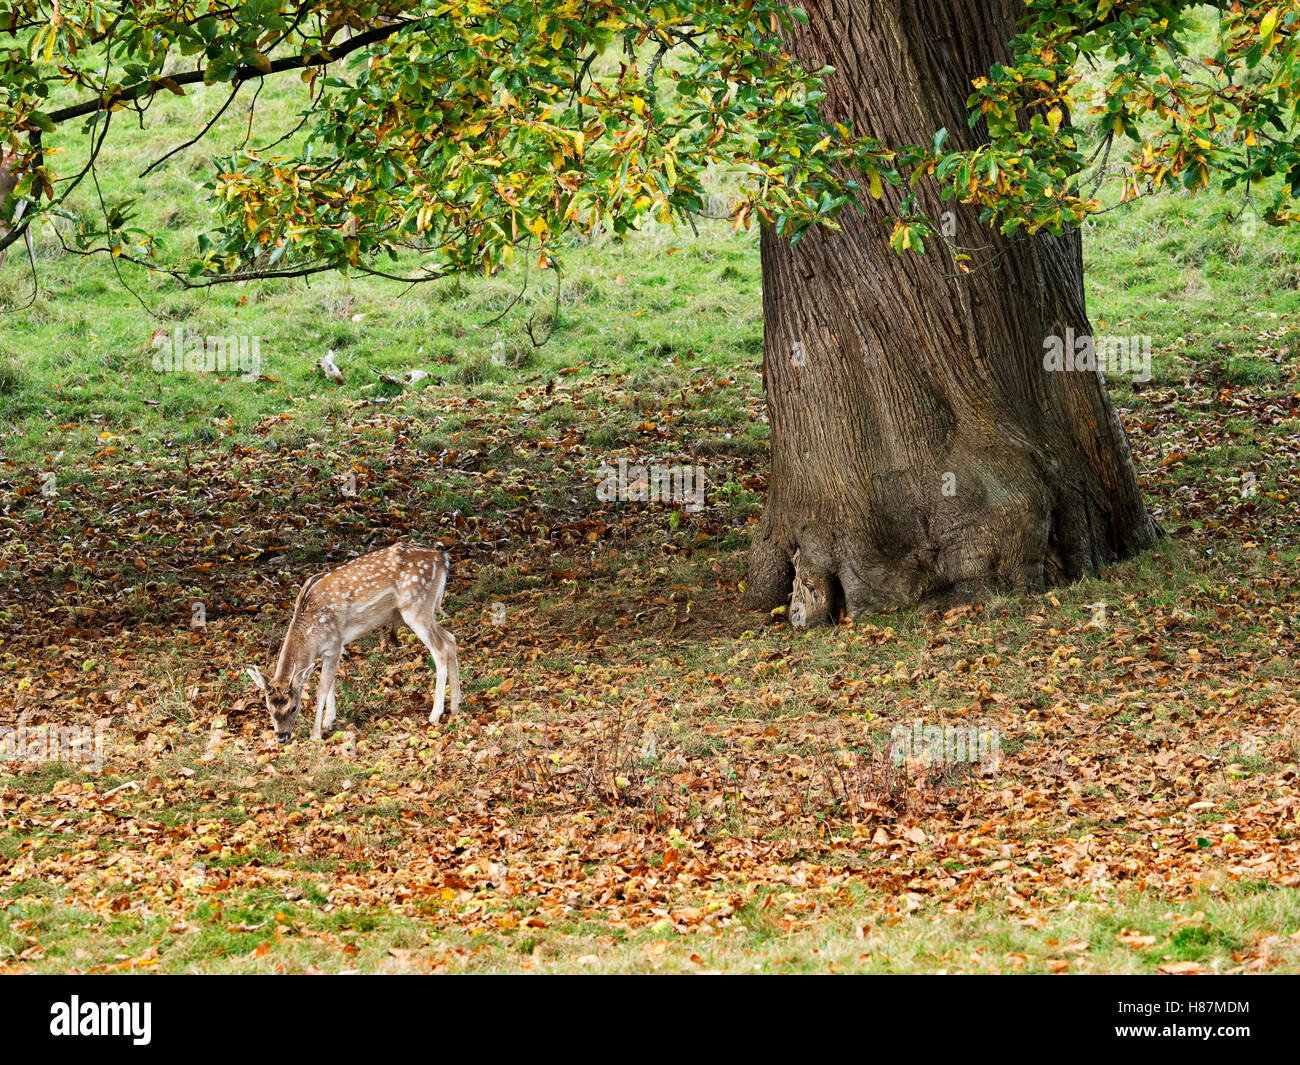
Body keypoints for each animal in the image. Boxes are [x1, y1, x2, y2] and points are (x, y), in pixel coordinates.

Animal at [247, 542, 461, 744]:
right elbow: (331, 682)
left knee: (440, 649)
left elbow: (322, 689)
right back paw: (456, 705)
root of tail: (443, 558)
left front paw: (316, 734)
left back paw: (435, 714)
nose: (281, 737)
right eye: (268, 708)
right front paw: (329, 720)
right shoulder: (329, 649)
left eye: (293, 707)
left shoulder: (334, 643)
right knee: (450, 639)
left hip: (416, 607)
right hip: (426, 611)